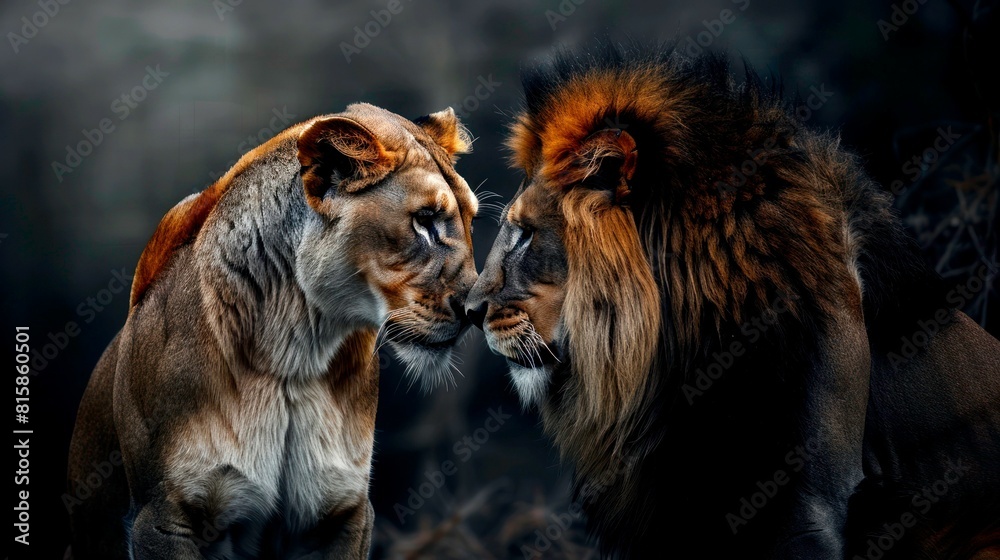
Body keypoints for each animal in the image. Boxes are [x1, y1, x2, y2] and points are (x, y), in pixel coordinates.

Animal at [66, 103, 479, 559]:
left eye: (471, 221)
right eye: (424, 221)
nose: (475, 311)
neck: (296, 355)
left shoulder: (343, 512)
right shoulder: (163, 517)